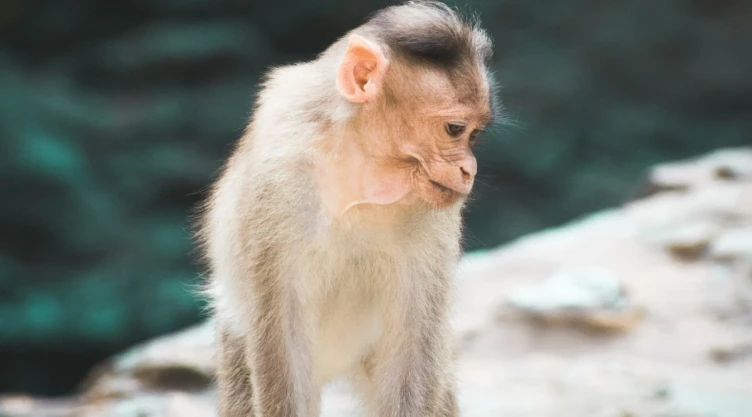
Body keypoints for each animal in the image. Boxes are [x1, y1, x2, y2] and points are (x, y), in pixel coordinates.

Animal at [196, 1, 496, 416]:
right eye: (454, 129)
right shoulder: (277, 179)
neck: (359, 173)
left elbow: (414, 342)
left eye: (475, 135)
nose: (470, 170)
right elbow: (282, 335)